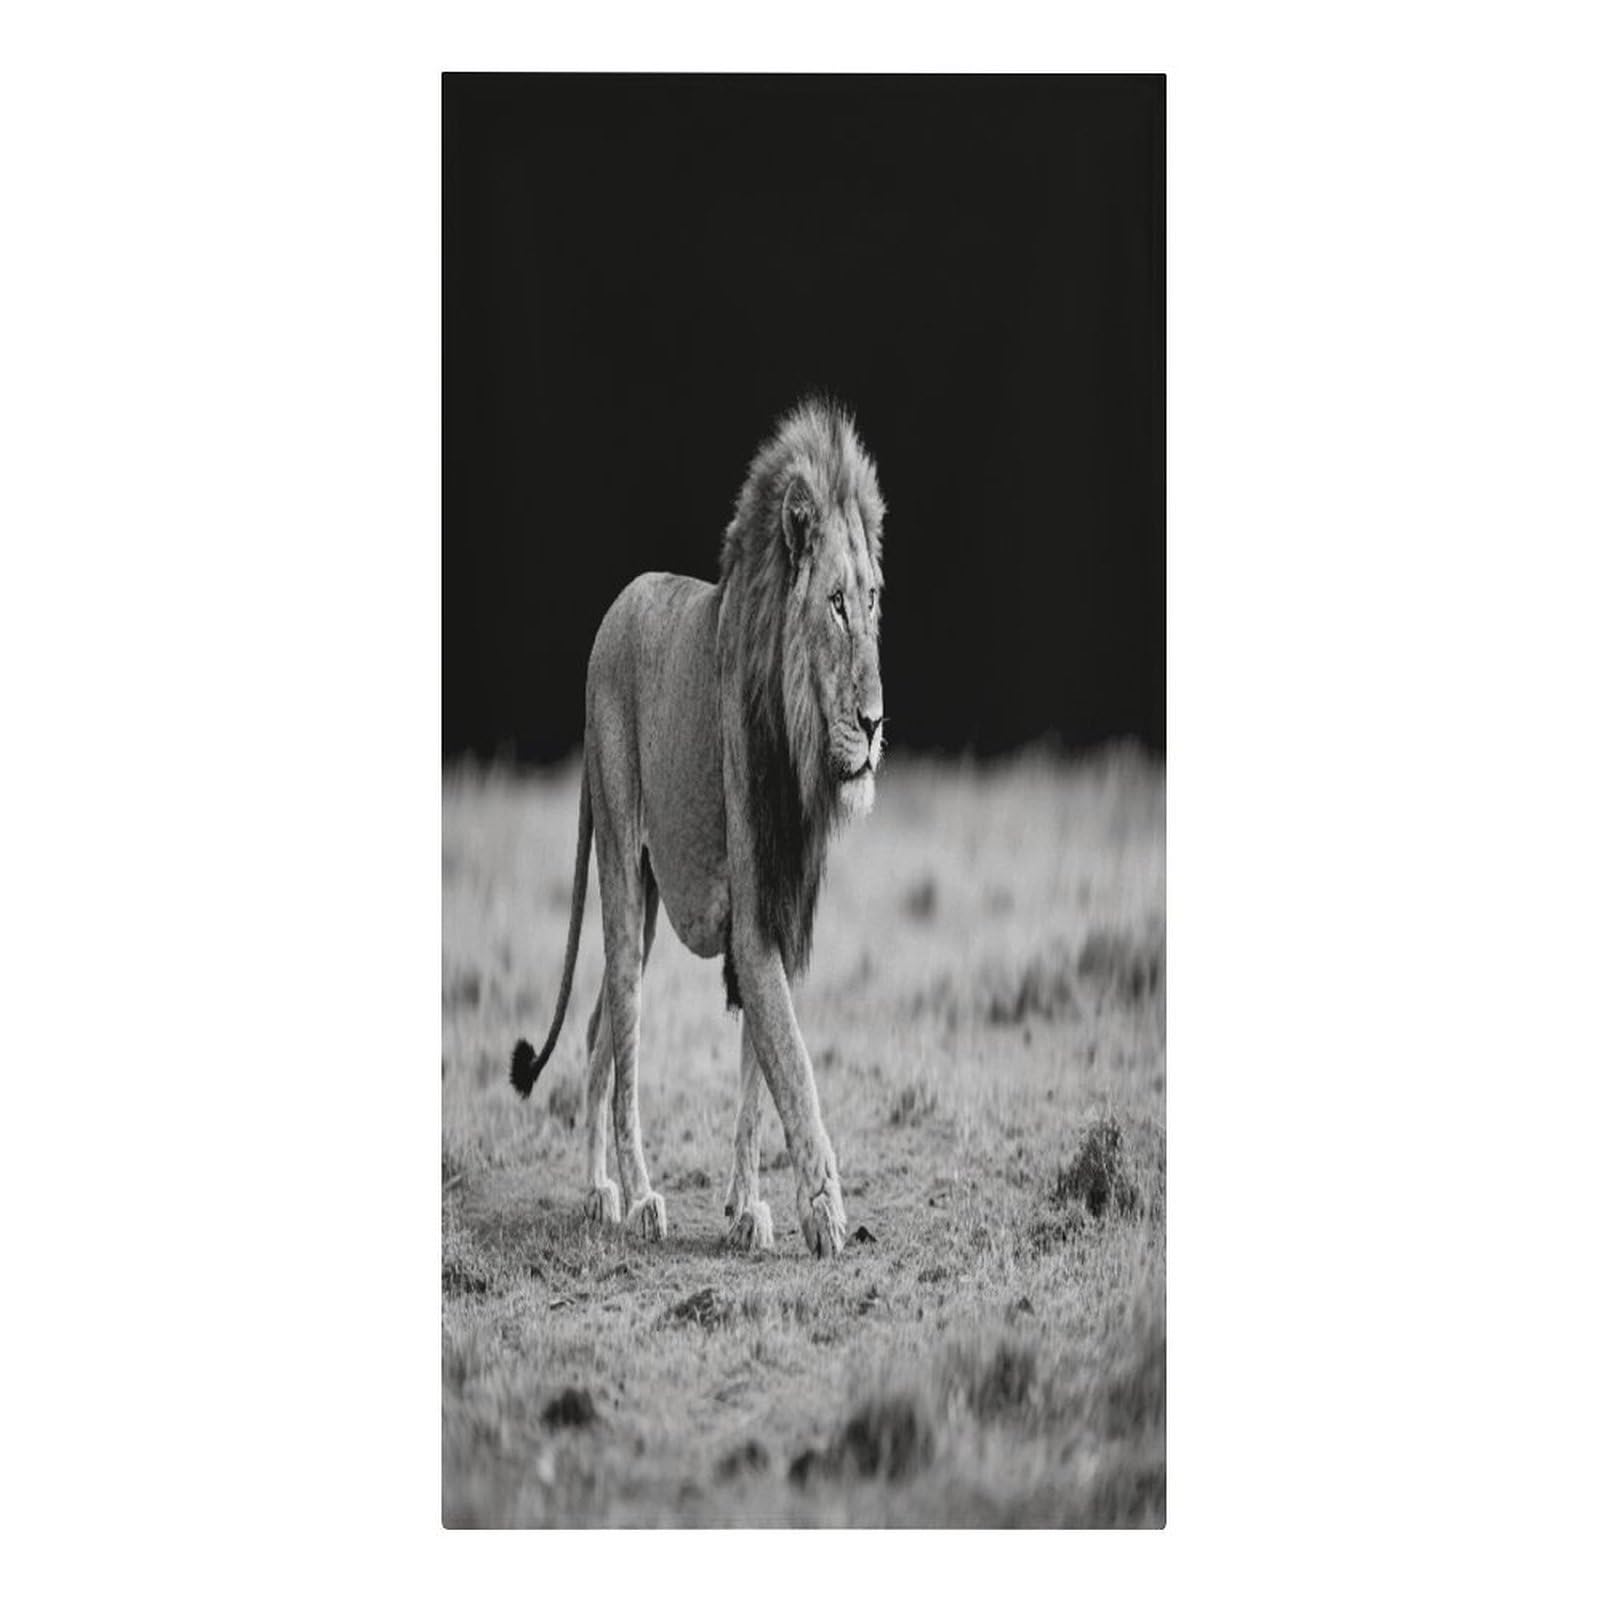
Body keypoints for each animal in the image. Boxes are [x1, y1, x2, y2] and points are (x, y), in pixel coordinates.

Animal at [509, 398, 886, 1258]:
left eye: (875, 599)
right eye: (835, 603)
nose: (876, 723)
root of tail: (617, 606)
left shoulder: (778, 905)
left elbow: (757, 1077)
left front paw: (748, 1207)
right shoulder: (754, 912)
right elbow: (794, 1065)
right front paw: (827, 1214)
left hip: (649, 905)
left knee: (597, 1029)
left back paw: (599, 1192)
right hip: (620, 862)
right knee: (624, 1036)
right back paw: (640, 1196)